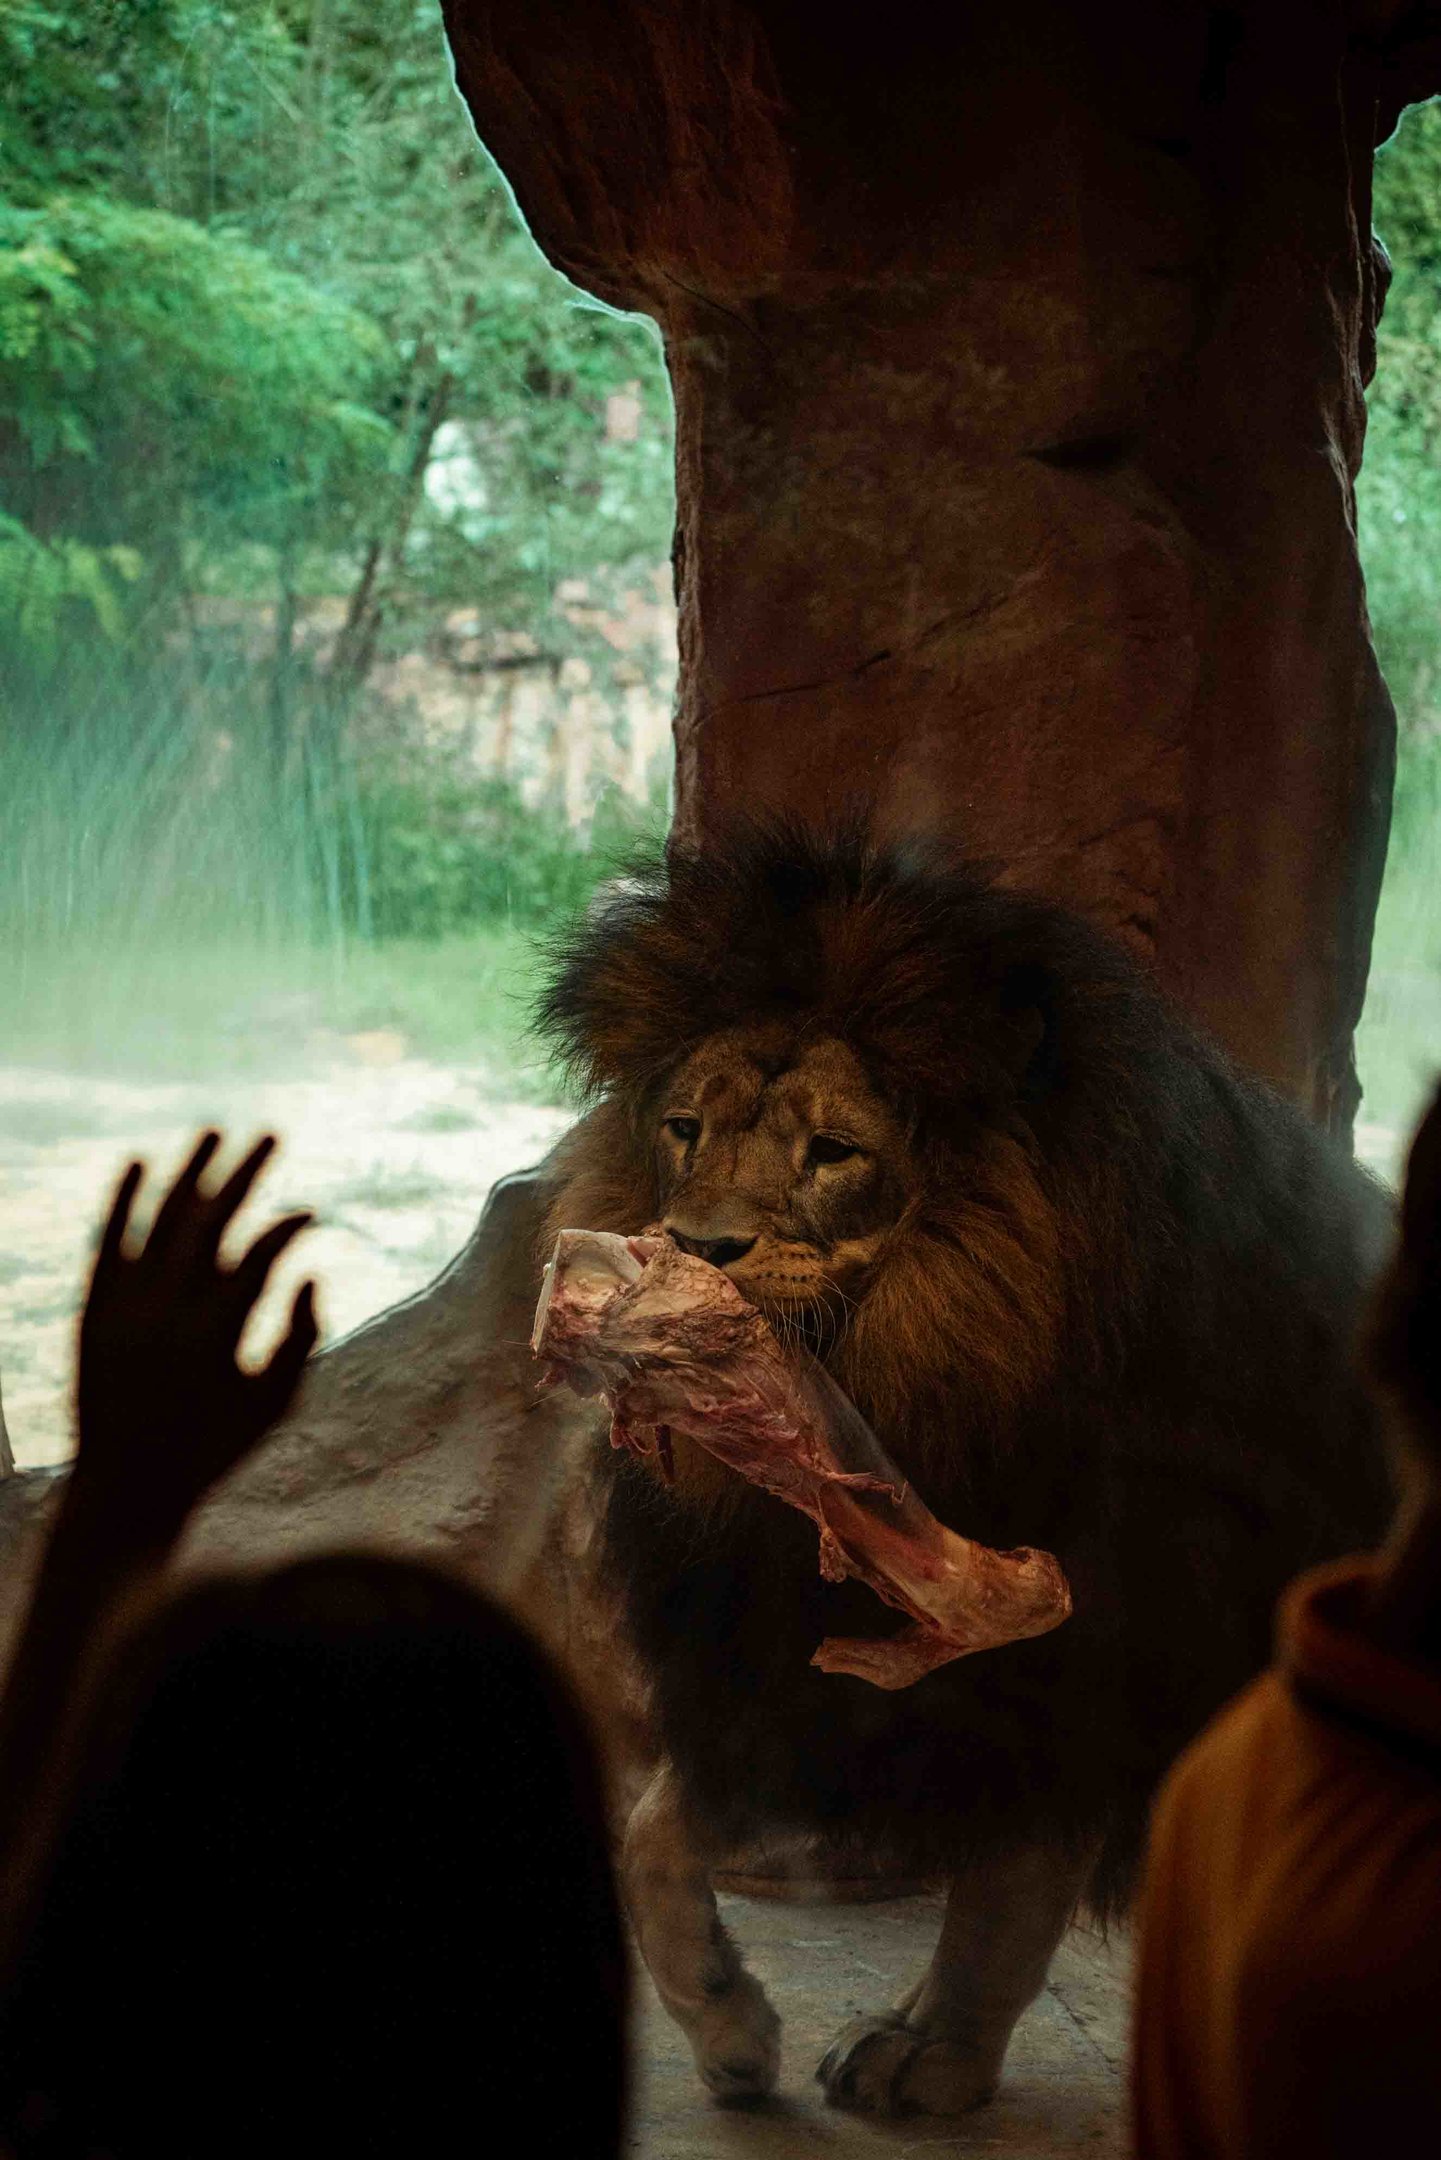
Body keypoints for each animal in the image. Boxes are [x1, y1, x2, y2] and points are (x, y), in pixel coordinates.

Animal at [536, 820, 1394, 2118]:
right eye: (686, 1127)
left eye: (832, 1152)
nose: (693, 1246)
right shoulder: (782, 1647)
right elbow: (650, 1828)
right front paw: (730, 2029)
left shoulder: (1098, 1645)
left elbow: (1011, 1878)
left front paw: (933, 2055)